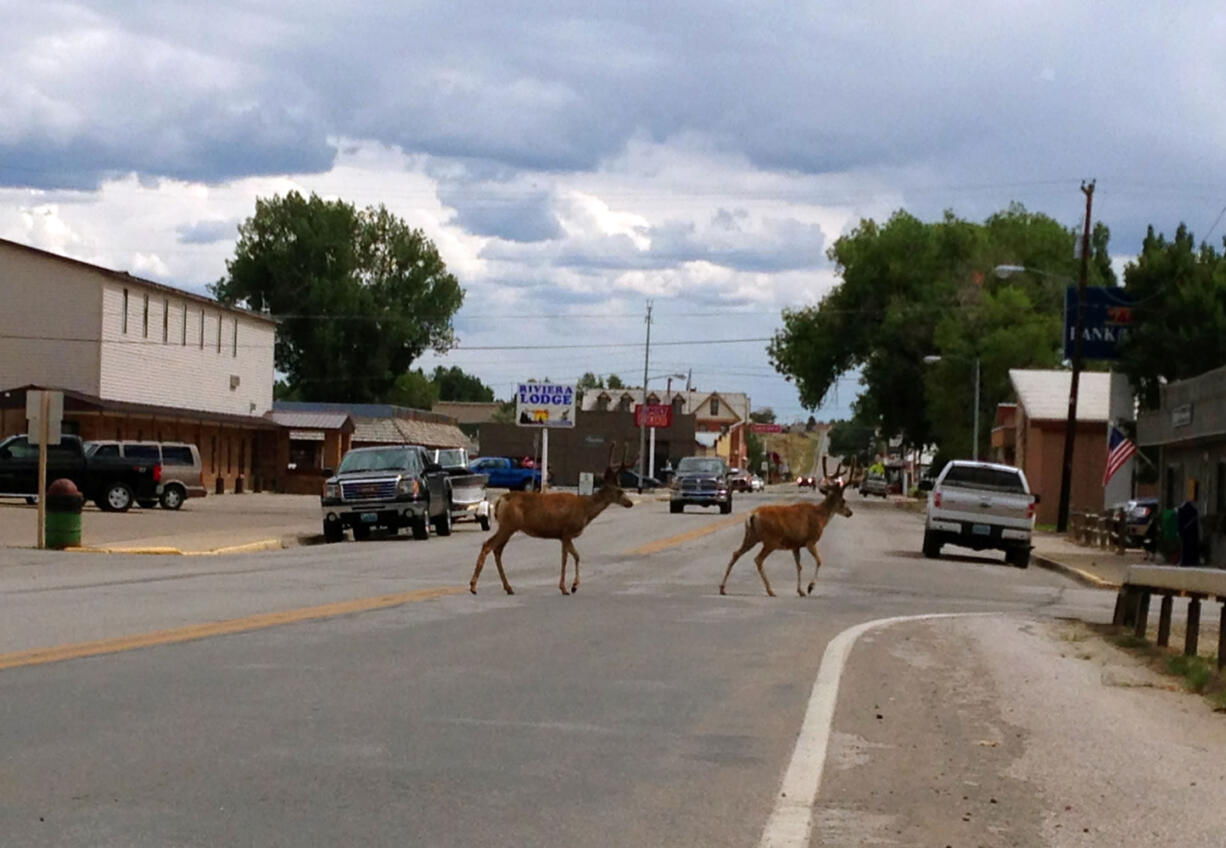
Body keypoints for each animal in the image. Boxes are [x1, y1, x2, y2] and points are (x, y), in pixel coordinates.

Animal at [468, 443, 637, 595]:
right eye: (619, 490)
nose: (630, 503)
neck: (584, 509)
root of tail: (500, 500)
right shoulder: (567, 531)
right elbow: (572, 557)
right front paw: (570, 587)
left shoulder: (562, 535)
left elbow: (568, 557)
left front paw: (566, 587)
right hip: (507, 525)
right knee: (488, 546)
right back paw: (473, 587)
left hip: (509, 527)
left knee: (497, 550)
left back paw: (508, 588)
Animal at [715, 458, 863, 595]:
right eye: (843, 500)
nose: (850, 512)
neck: (820, 517)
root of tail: (752, 515)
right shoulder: (810, 540)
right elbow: (819, 561)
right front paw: (810, 587)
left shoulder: (796, 545)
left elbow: (799, 566)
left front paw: (800, 590)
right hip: (770, 540)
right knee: (758, 559)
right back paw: (770, 590)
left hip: (751, 536)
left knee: (736, 553)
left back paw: (722, 588)